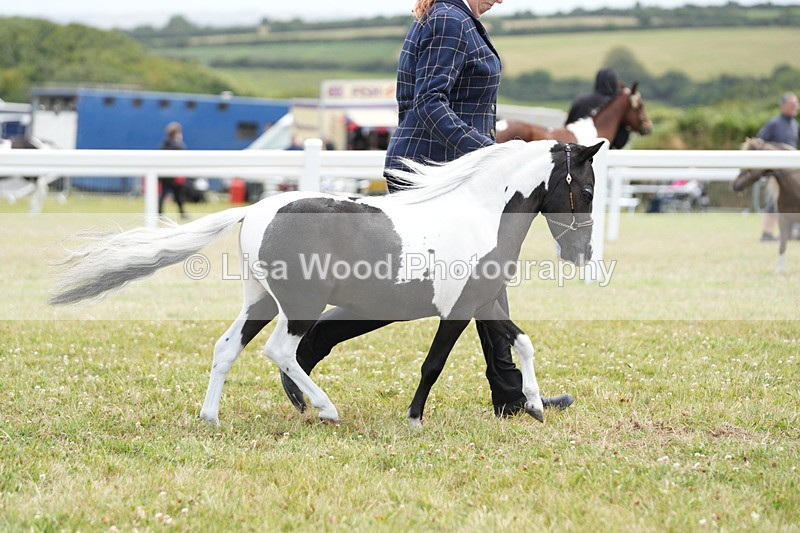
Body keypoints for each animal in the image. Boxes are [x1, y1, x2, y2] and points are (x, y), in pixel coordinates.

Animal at [50, 139, 604, 428]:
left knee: (227, 346)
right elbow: (434, 363)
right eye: (587, 186)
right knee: (280, 351)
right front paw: (415, 419)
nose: (581, 254)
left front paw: (534, 405)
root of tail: (255, 209)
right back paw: (326, 409)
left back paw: (211, 417)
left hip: (260, 301)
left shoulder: (485, 300)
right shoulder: (460, 307)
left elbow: (522, 342)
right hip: (300, 305)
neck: (479, 213)